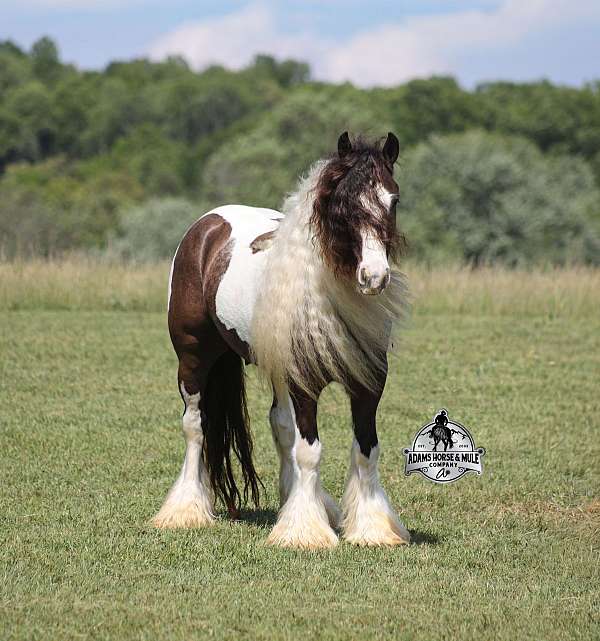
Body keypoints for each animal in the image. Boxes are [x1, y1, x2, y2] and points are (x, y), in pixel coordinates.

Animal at [151, 131, 411, 549]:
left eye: (394, 200)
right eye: (342, 204)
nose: (374, 276)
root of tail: (205, 227)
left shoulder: (368, 382)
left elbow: (366, 449)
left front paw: (372, 528)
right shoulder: (305, 382)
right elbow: (309, 451)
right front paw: (305, 533)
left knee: (280, 424)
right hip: (192, 359)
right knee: (195, 426)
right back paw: (185, 511)